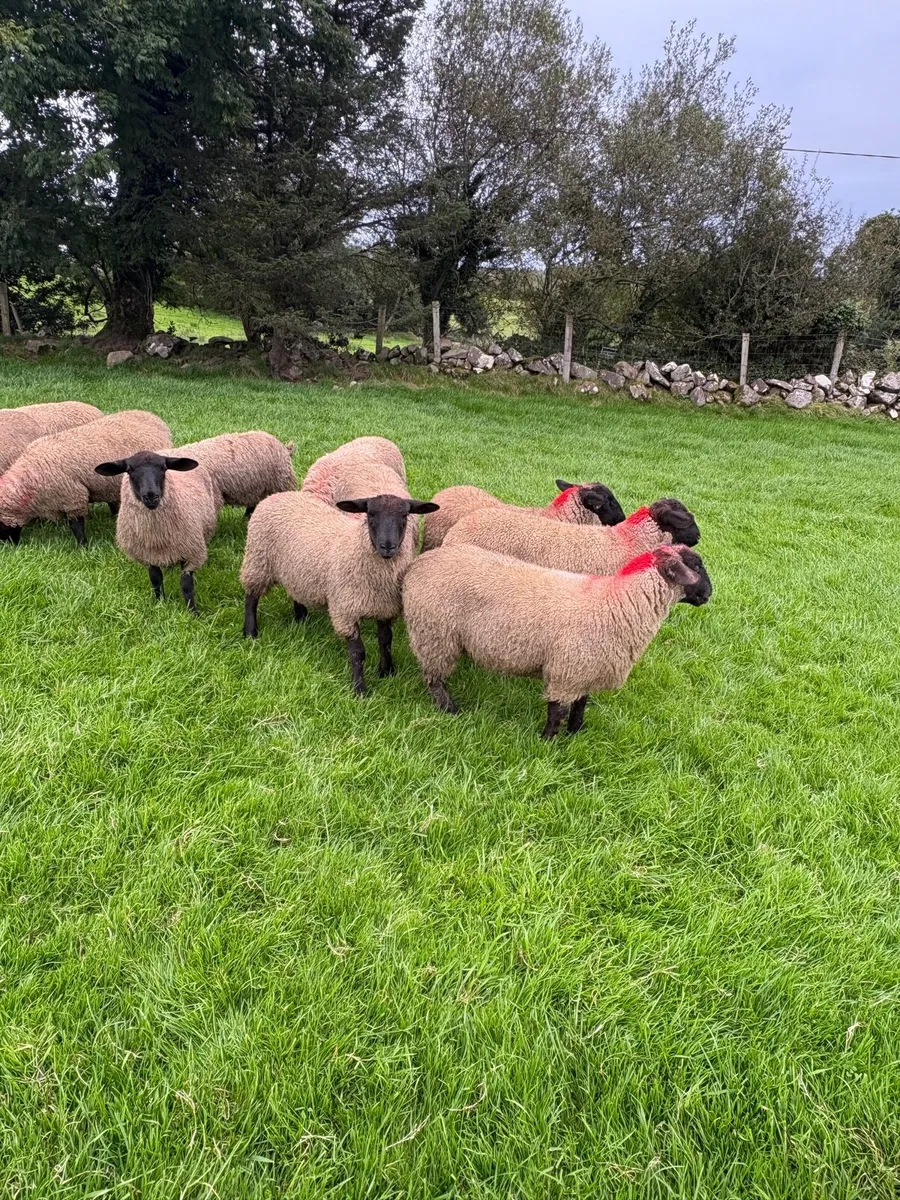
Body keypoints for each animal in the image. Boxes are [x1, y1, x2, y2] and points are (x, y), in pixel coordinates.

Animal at [94, 451, 220, 612]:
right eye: (129, 469)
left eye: (163, 468)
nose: (151, 496)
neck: (157, 537)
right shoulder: (148, 554)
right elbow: (155, 579)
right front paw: (160, 603)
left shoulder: (191, 551)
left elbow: (186, 585)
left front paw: (193, 611)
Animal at [240, 490, 438, 695]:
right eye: (370, 514)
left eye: (404, 516)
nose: (387, 546)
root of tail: (276, 495)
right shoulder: (345, 611)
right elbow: (358, 653)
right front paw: (360, 689)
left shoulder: (385, 609)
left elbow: (385, 641)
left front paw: (386, 671)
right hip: (258, 561)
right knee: (251, 597)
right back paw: (250, 632)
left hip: (296, 571)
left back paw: (301, 617)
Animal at [402, 543, 711, 737]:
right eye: (696, 565)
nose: (709, 594)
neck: (618, 601)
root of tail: (417, 565)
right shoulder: (566, 671)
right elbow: (557, 710)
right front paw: (548, 741)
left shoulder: (585, 669)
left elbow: (580, 704)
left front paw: (576, 733)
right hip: (435, 634)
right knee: (434, 679)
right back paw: (450, 710)